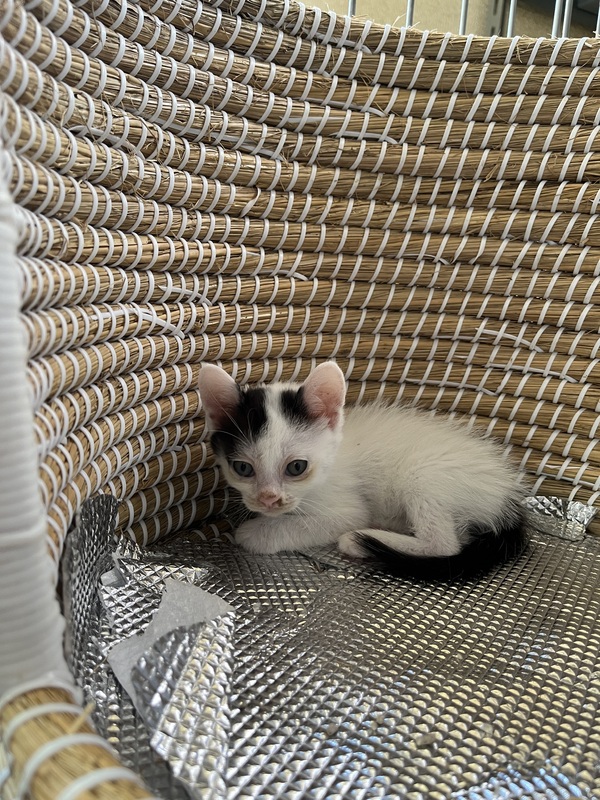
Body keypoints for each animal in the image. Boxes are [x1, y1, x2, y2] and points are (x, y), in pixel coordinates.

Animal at [198, 361, 528, 579]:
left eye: (296, 467)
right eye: (243, 468)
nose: (268, 499)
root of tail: (508, 496)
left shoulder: (347, 509)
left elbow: (308, 523)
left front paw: (256, 532)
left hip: (425, 474)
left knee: (445, 545)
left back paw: (361, 540)